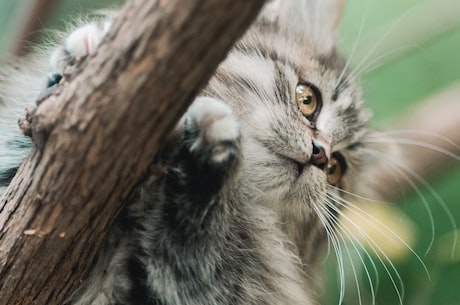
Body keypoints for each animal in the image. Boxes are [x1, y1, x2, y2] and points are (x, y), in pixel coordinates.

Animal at [0, 0, 378, 304]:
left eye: (336, 170)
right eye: (307, 99)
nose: (319, 154)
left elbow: (194, 248)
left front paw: (210, 155)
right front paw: (79, 56)